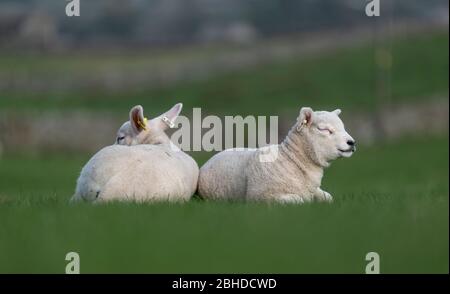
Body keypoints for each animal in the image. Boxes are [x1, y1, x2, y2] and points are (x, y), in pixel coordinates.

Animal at [199, 107, 356, 203]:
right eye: (324, 129)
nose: (352, 142)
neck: (291, 159)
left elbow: (328, 198)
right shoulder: (263, 197)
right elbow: (299, 201)